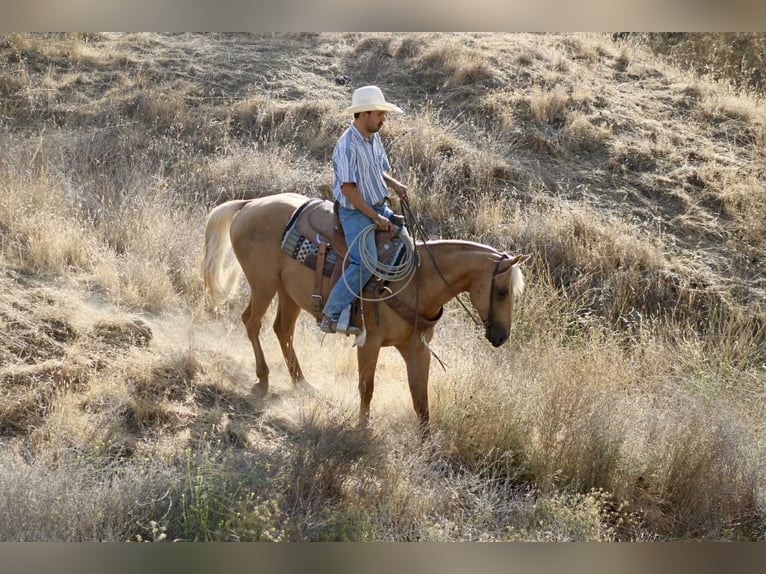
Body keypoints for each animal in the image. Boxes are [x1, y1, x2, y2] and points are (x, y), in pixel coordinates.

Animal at [202, 192, 530, 430]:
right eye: (502, 291)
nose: (501, 336)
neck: (416, 280)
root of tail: (249, 204)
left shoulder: (416, 348)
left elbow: (420, 398)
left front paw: (428, 445)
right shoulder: (369, 342)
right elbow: (367, 387)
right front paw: (362, 429)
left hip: (287, 293)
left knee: (282, 330)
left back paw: (302, 383)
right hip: (264, 284)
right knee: (252, 322)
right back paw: (263, 379)